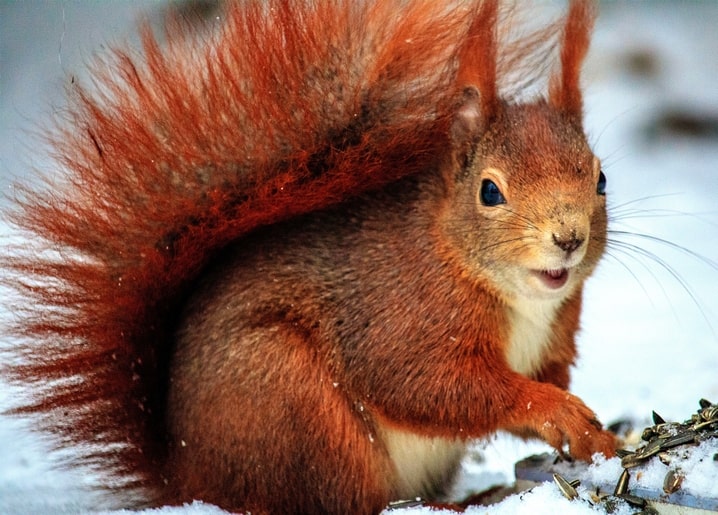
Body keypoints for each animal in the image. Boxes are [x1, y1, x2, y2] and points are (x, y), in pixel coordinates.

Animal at [2, 0, 618, 513]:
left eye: (601, 179)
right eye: (490, 192)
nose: (569, 237)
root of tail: (188, 479)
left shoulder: (553, 338)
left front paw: (598, 436)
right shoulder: (401, 317)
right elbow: (429, 386)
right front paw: (553, 408)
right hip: (296, 407)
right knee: (339, 501)